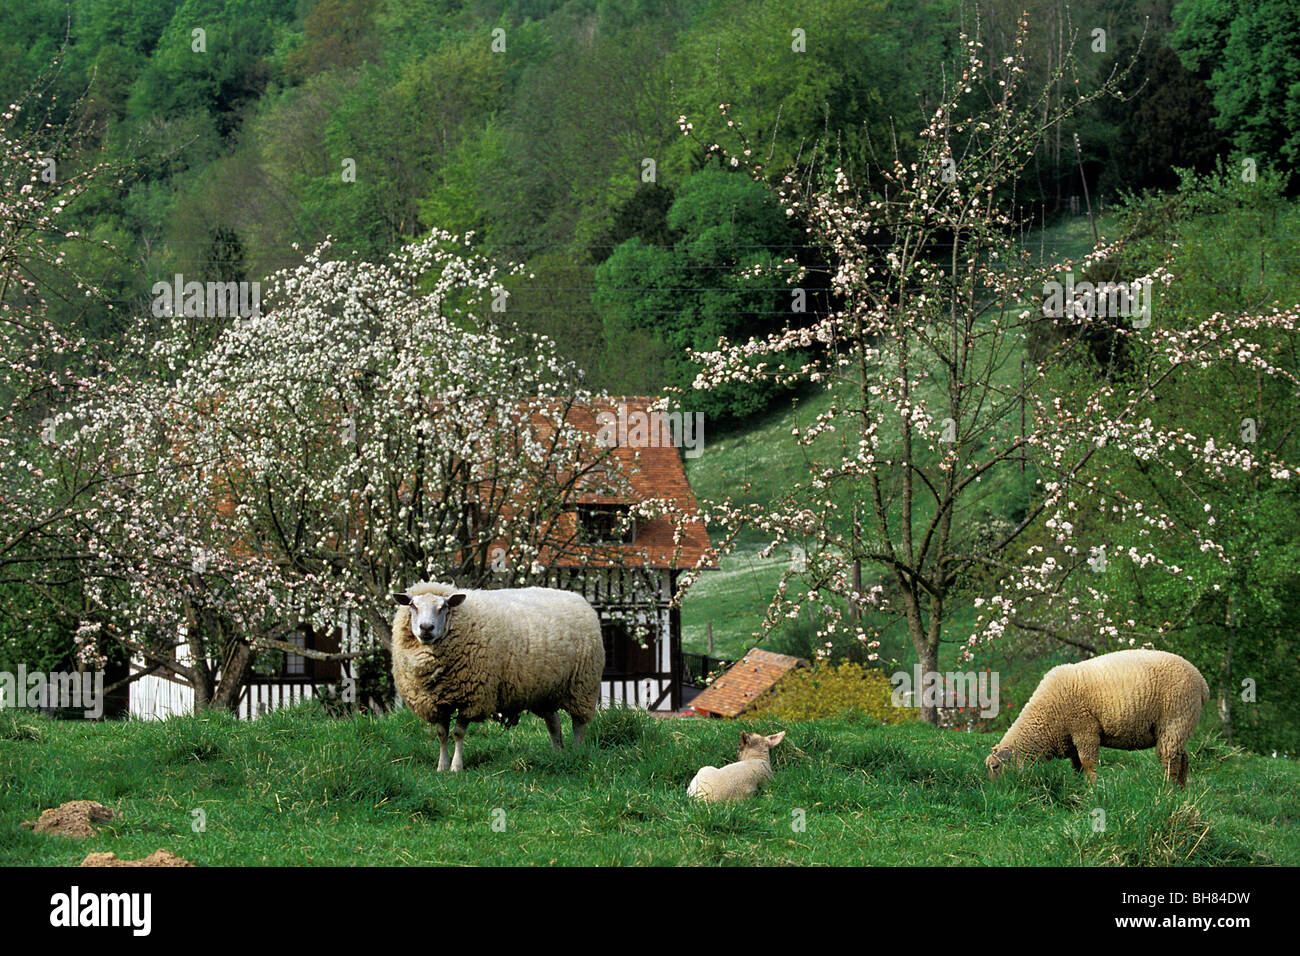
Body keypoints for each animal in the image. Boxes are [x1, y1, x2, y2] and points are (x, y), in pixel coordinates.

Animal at [390, 580, 603, 775]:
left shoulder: (472, 698)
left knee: (579, 724)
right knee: (554, 724)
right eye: (413, 606)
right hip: (545, 690)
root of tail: (579, 598)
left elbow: (458, 733)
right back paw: (558, 754)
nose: (426, 628)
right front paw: (441, 766)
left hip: (583, 685)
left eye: (444, 607)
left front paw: (456, 767)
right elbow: (442, 734)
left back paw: (576, 753)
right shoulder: (439, 701)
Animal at [982, 647, 1206, 790]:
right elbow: (1077, 767)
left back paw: (1167, 790)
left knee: (1171, 760)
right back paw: (1180, 791)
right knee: (1183, 758)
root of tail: (1202, 681)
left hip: (1175, 719)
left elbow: (1088, 763)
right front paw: (1079, 787)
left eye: (996, 767)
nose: (995, 794)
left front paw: (1092, 790)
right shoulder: (1071, 741)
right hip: (1180, 726)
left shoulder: (1084, 730)